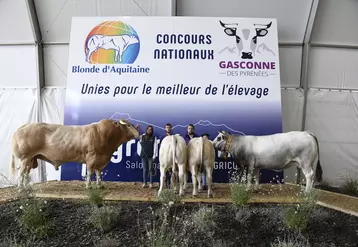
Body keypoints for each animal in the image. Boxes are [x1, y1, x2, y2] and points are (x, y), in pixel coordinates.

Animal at [9, 118, 138, 188]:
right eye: (128, 125)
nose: (138, 133)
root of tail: (24, 126)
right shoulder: (92, 156)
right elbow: (90, 172)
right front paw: (88, 186)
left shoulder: (101, 160)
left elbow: (98, 173)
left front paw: (100, 185)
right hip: (25, 157)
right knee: (21, 173)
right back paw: (21, 188)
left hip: (30, 159)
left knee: (25, 174)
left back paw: (26, 187)